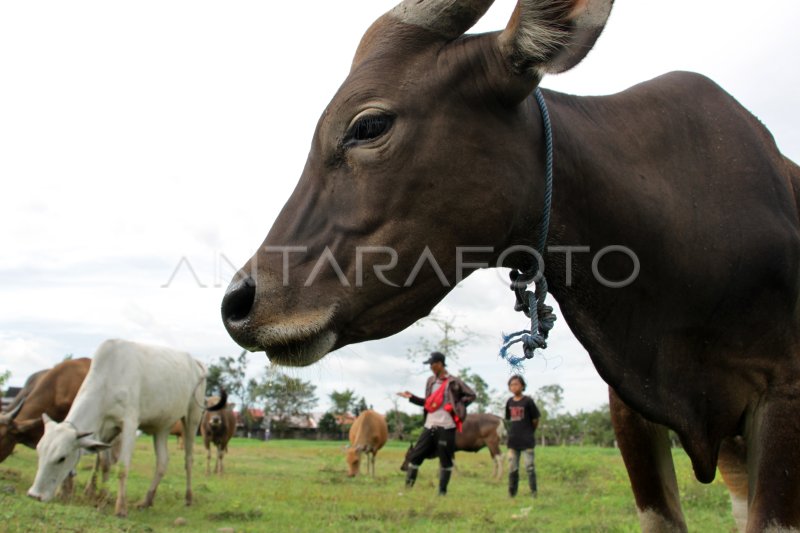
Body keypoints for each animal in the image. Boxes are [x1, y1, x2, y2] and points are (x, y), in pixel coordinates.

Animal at [26, 338, 225, 516]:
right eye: (39, 452)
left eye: (62, 458)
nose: (34, 495)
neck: (107, 380)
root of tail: (195, 361)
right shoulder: (105, 429)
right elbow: (104, 463)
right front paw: (101, 495)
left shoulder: (129, 423)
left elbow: (122, 467)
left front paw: (120, 508)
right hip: (162, 426)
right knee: (162, 462)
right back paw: (147, 500)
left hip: (192, 418)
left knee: (188, 459)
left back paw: (188, 498)